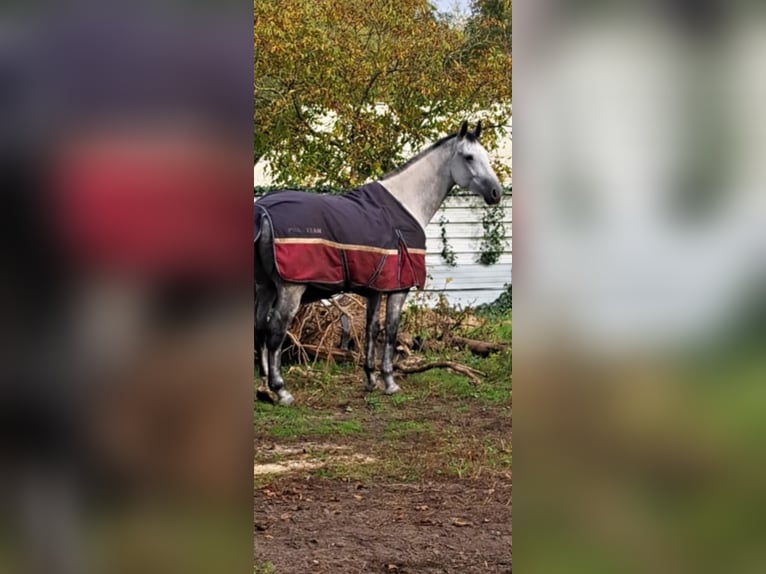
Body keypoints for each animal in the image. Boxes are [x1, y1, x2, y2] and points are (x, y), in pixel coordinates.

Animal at [254, 121, 503, 405]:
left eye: (486, 156)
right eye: (469, 157)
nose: (496, 193)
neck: (407, 202)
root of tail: (261, 211)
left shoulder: (375, 289)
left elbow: (371, 330)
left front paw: (371, 380)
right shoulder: (398, 288)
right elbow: (391, 331)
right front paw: (390, 382)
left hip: (265, 287)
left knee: (259, 329)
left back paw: (264, 387)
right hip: (289, 290)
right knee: (275, 332)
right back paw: (281, 390)